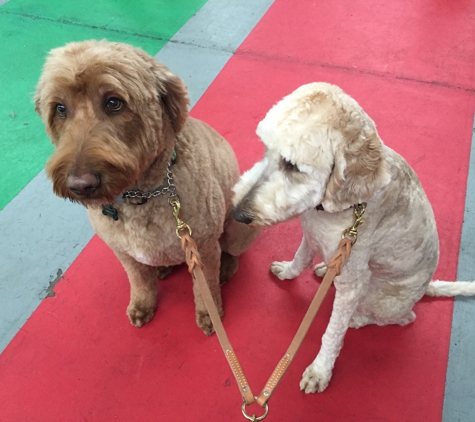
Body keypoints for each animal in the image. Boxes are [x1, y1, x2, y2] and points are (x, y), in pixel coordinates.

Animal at [34, 40, 260, 332]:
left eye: (114, 102)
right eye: (60, 108)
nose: (80, 185)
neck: (141, 194)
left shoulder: (204, 250)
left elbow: (206, 288)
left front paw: (210, 314)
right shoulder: (125, 254)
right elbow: (140, 281)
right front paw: (143, 304)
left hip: (237, 229)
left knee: (231, 252)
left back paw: (227, 268)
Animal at [231, 81, 475, 392]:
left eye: (292, 165)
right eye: (265, 149)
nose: (237, 214)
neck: (342, 205)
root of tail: (426, 289)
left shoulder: (351, 285)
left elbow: (332, 333)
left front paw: (320, 371)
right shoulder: (312, 232)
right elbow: (301, 256)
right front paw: (288, 271)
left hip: (379, 298)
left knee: (402, 319)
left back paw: (358, 319)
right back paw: (324, 269)